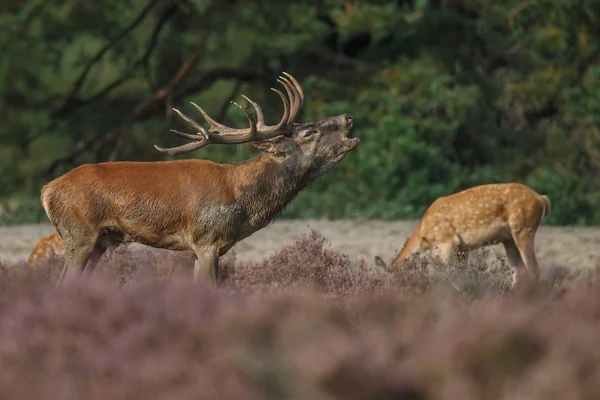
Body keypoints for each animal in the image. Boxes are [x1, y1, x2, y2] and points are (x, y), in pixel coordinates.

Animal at [42, 72, 360, 284]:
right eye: (309, 131)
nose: (348, 118)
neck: (243, 203)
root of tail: (47, 191)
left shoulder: (205, 248)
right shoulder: (207, 239)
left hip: (100, 241)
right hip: (78, 233)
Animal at [376, 184, 552, 290]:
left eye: (390, 281)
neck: (423, 238)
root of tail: (542, 199)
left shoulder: (448, 241)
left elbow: (447, 275)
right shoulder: (463, 248)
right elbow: (461, 275)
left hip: (524, 228)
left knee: (533, 269)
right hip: (508, 239)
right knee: (519, 269)